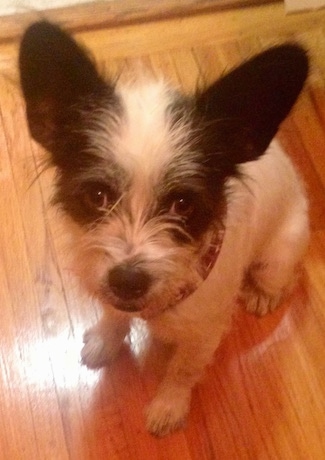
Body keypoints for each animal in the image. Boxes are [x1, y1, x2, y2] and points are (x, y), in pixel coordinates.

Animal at [19, 21, 308, 436]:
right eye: (97, 195)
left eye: (183, 205)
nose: (127, 281)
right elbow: (113, 315)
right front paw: (106, 340)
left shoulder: (204, 333)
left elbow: (183, 371)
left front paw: (169, 406)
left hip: (280, 253)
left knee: (280, 277)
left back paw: (262, 294)